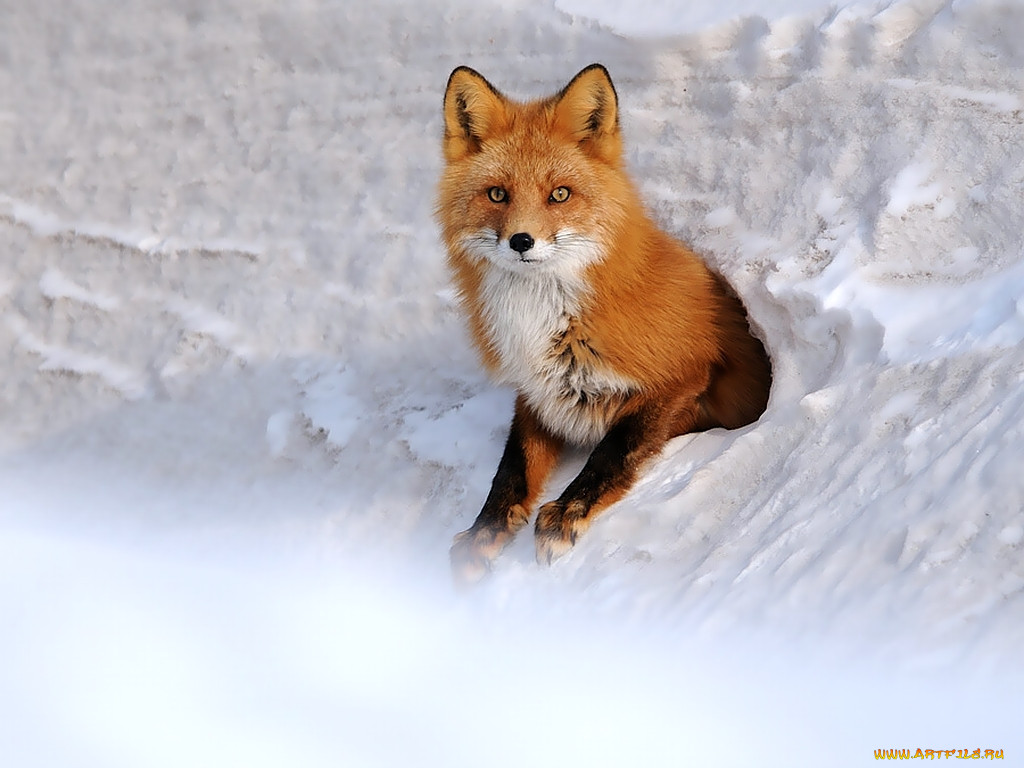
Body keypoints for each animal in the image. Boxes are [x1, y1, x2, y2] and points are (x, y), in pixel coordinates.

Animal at [438, 64, 770, 581]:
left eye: (559, 194)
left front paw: (565, 514)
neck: (546, 321)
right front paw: (483, 533)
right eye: (497, 194)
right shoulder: (538, 394)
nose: (521, 241)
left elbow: (613, 451)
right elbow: (512, 469)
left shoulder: (682, 379)